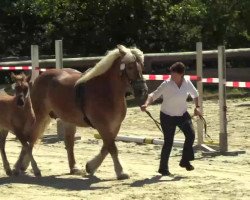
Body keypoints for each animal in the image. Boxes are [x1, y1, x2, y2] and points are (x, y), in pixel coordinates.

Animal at [18, 44, 147, 179]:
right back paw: (23, 166)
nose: (142, 90)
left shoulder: (115, 125)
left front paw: (90, 166)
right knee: (31, 138)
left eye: (141, 67)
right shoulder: (102, 125)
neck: (106, 91)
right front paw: (121, 171)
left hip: (66, 119)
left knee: (68, 142)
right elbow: (112, 147)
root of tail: (40, 77)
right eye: (130, 67)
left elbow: (106, 147)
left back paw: (73, 168)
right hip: (41, 116)